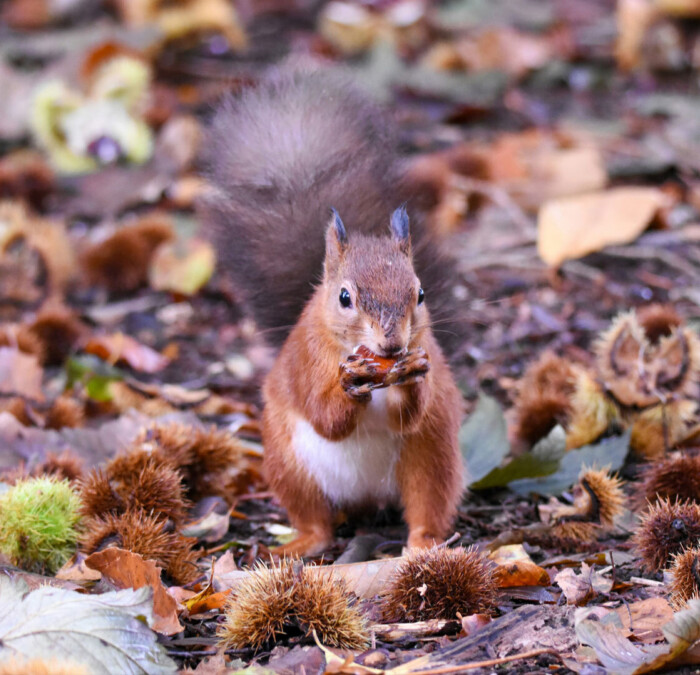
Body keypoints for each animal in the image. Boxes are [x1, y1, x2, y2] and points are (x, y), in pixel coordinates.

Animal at [202, 68, 464, 556]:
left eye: (420, 294)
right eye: (344, 298)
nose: (392, 345)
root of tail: (365, 498)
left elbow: (409, 414)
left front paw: (414, 373)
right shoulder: (308, 360)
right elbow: (326, 417)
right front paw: (349, 385)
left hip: (432, 457)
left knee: (427, 506)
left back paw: (424, 544)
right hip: (288, 465)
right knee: (317, 523)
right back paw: (298, 544)